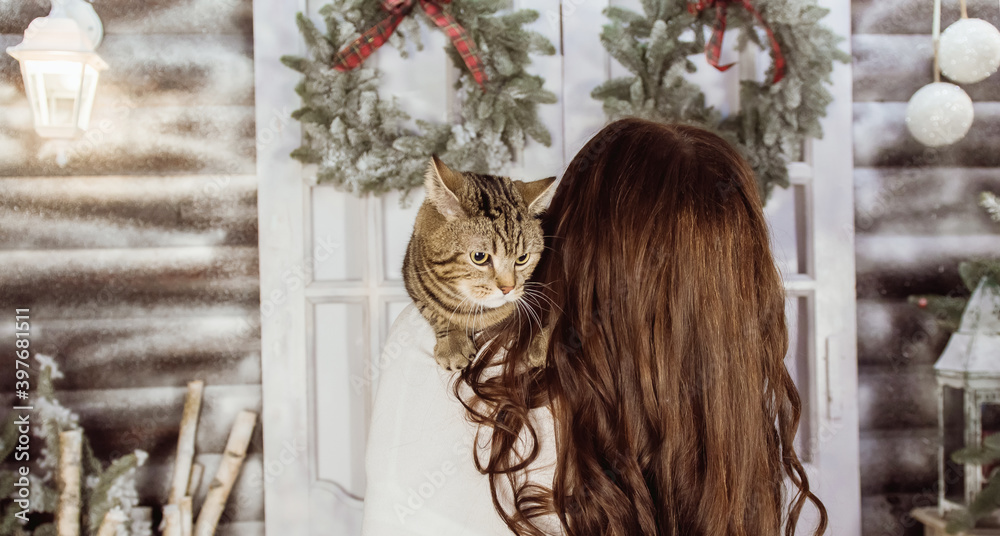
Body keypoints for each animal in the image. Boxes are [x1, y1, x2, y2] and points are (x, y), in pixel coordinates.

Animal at [404, 157, 556, 370]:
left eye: (522, 258)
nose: (508, 288)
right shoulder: (412, 278)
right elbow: (433, 310)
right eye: (479, 257)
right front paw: (452, 340)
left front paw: (543, 343)